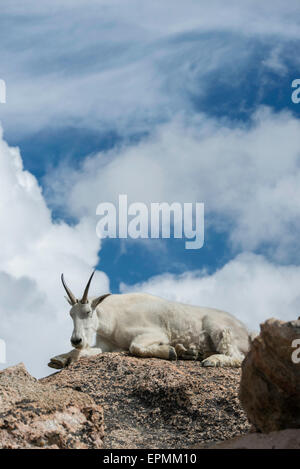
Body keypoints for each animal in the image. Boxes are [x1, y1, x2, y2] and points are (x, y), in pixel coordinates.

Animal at [48, 272, 251, 368]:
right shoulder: (107, 347)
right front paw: (58, 360)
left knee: (239, 357)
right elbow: (83, 352)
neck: (112, 320)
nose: (76, 340)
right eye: (70, 314)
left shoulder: (154, 333)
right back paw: (192, 352)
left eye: (89, 311)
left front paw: (170, 351)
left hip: (217, 327)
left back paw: (210, 360)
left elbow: (135, 347)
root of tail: (248, 332)